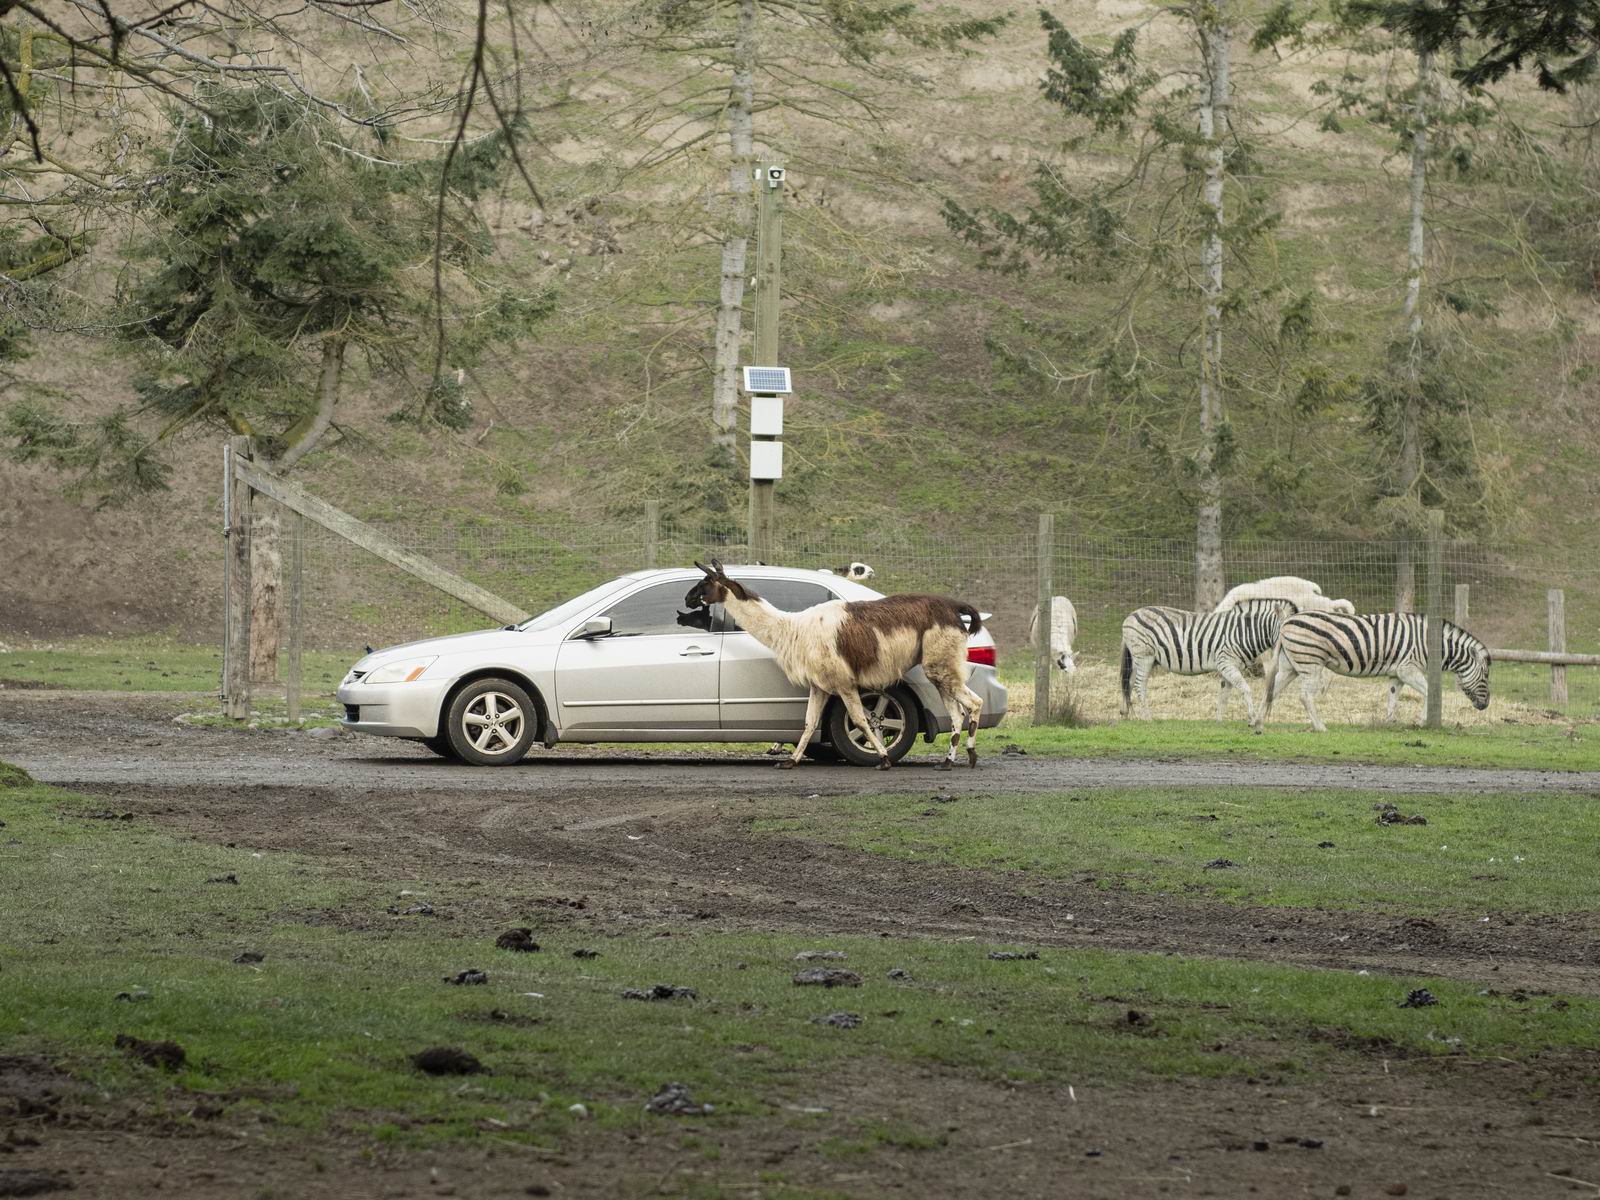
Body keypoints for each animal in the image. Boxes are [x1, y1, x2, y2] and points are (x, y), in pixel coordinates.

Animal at [1120, 601, 1305, 723]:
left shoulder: (1228, 666)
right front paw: (1251, 717)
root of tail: (1131, 615)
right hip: (1144, 656)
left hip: (1138, 659)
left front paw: (1218, 722)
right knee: (1139, 685)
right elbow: (1245, 688)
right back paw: (1147, 718)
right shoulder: (1226, 662)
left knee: (1128, 683)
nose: (1299, 646)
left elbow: (1223, 695)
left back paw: (1126, 714)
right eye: (1287, 629)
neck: (1243, 633)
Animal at [1254, 611, 1491, 732]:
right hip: (1310, 663)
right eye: (1485, 676)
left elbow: (1392, 697)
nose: (1485, 705)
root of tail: (1285, 622)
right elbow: (1430, 692)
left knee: (1271, 690)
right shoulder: (1408, 668)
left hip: (1291, 665)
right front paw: (1421, 721)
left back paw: (1257, 723)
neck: (1429, 643)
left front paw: (1389, 722)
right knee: (1304, 696)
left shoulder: (1397, 673)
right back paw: (1320, 727)